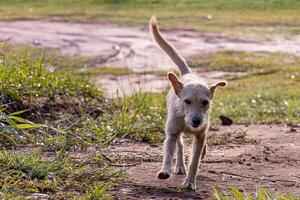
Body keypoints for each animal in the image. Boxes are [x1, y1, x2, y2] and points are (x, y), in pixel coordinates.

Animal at [149, 15, 226, 191]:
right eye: (187, 101)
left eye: (205, 102)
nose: (196, 121)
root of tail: (188, 74)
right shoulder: (171, 133)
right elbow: (169, 152)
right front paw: (165, 171)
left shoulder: (200, 134)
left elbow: (195, 161)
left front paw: (190, 182)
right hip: (175, 128)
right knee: (180, 145)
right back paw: (179, 166)